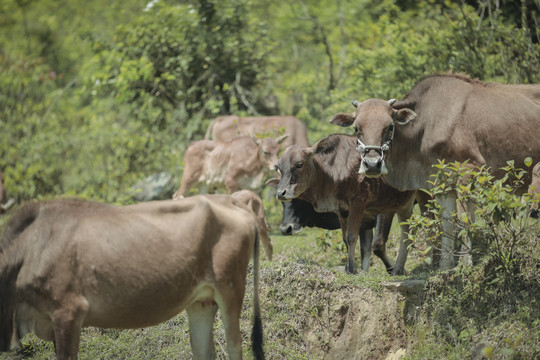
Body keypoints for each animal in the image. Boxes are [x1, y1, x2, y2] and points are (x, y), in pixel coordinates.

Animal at [0, 197, 264, 360]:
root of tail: (235, 203)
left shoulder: (68, 311)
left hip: (230, 290)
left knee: (234, 345)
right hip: (201, 302)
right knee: (204, 351)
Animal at [268, 134, 416, 274]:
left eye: (299, 164)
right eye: (280, 168)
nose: (285, 229)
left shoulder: (377, 208)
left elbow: (373, 244)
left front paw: (355, 270)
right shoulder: (346, 213)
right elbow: (357, 245)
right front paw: (356, 270)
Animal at [330, 74, 540, 270]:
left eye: (390, 126)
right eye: (356, 128)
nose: (372, 164)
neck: (427, 125)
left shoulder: (468, 172)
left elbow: (464, 220)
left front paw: (464, 263)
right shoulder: (442, 182)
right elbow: (447, 221)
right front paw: (445, 265)